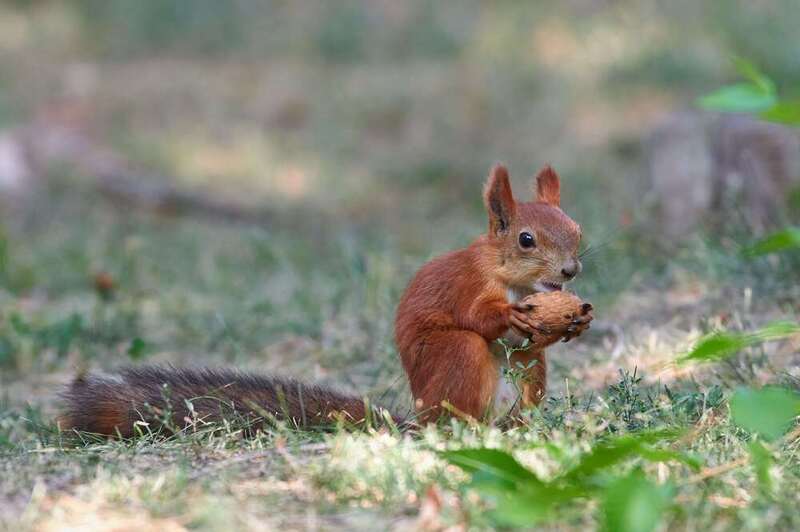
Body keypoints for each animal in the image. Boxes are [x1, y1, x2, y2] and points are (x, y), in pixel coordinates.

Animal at [59, 164, 592, 437]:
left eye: (577, 230)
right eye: (526, 240)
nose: (570, 272)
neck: (509, 277)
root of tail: (419, 416)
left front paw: (575, 321)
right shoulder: (467, 285)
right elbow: (478, 316)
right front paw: (509, 314)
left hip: (525, 371)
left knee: (527, 371)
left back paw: (518, 424)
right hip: (455, 358)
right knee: (461, 388)